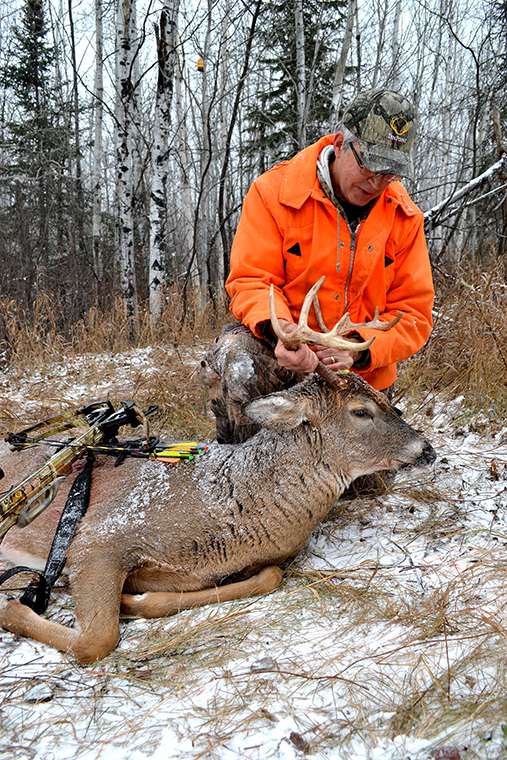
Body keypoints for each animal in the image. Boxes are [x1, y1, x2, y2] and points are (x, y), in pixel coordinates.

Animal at [0, 280, 436, 660]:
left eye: (388, 401)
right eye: (361, 411)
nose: (427, 449)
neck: (228, 503)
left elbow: (268, 576)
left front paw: (134, 597)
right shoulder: (98, 539)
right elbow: (96, 640)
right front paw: (12, 607)